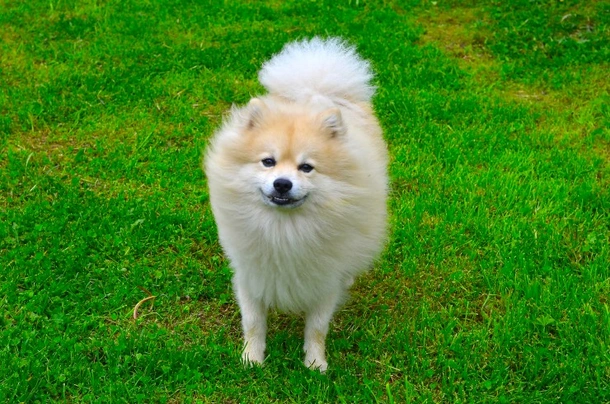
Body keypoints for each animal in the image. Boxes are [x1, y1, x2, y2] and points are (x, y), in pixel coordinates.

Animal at [203, 38, 384, 372]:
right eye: (268, 162)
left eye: (306, 168)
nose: (282, 184)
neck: (284, 229)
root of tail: (314, 90)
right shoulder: (250, 273)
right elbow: (253, 322)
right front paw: (251, 359)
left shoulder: (324, 281)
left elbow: (317, 327)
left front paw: (314, 363)